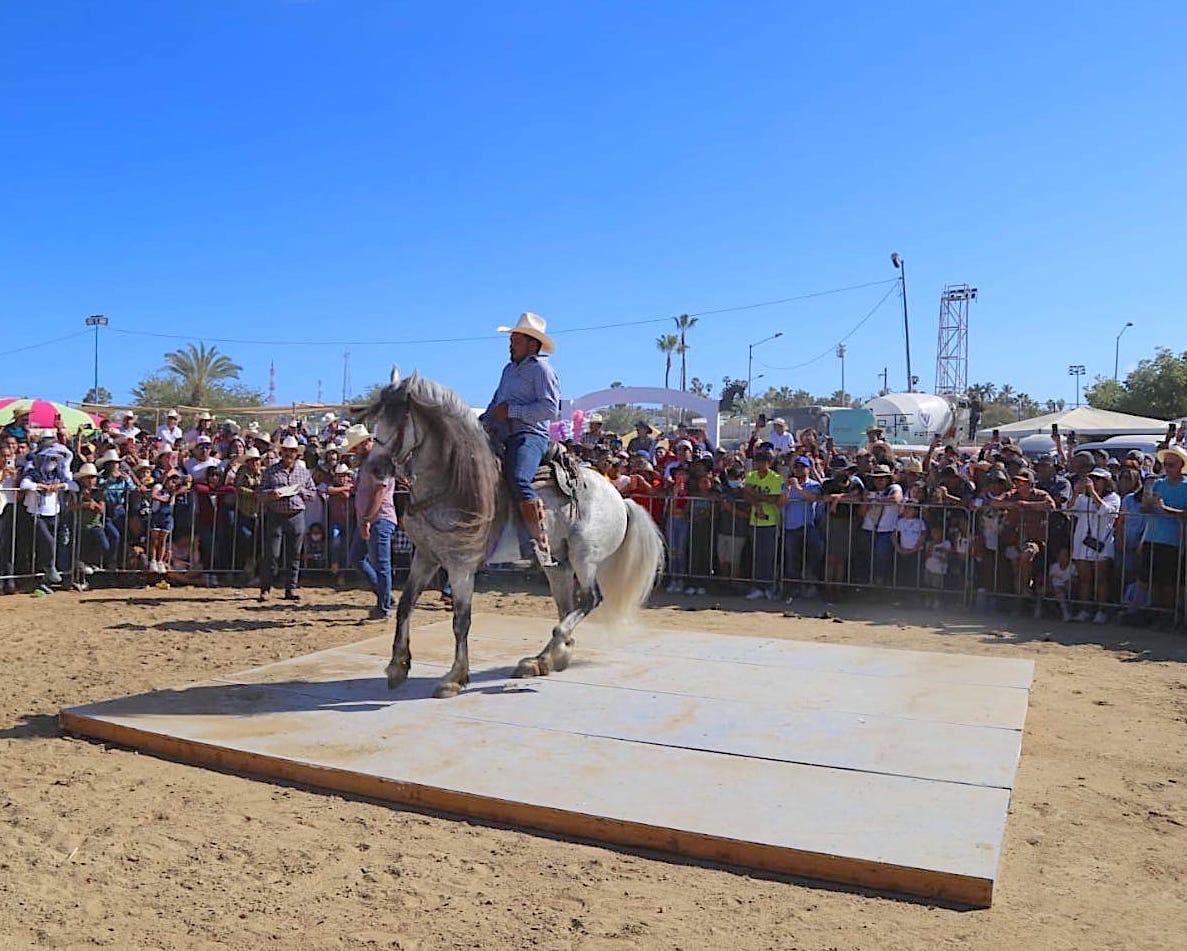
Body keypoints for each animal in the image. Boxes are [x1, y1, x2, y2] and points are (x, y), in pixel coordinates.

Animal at [365, 368, 664, 698]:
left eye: (399, 421)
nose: (374, 468)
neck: (454, 482)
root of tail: (620, 498)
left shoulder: (461, 564)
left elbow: (461, 620)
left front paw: (454, 678)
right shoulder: (426, 556)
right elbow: (405, 605)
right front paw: (397, 666)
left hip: (584, 556)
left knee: (589, 599)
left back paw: (555, 646)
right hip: (558, 564)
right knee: (567, 606)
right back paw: (544, 659)